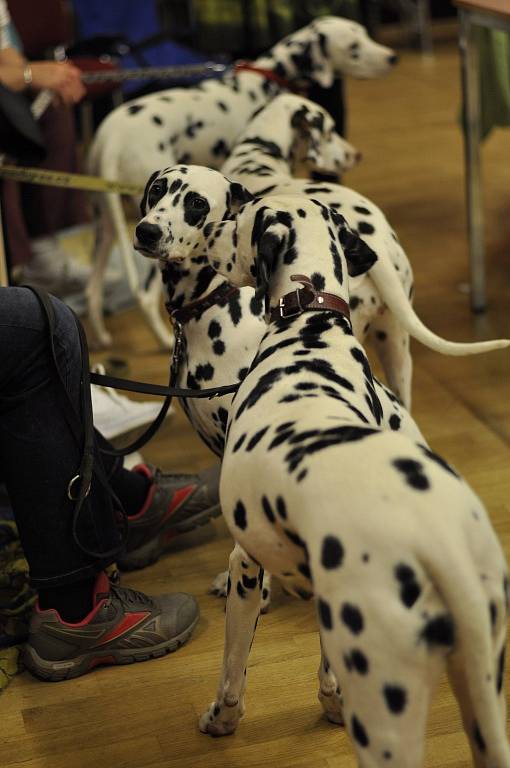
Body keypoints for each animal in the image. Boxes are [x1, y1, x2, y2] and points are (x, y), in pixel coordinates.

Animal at [86, 15, 398, 348]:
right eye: (354, 46)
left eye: (364, 35)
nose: (393, 57)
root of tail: (111, 138)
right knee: (144, 294)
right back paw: (165, 340)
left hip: (105, 223)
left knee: (94, 285)